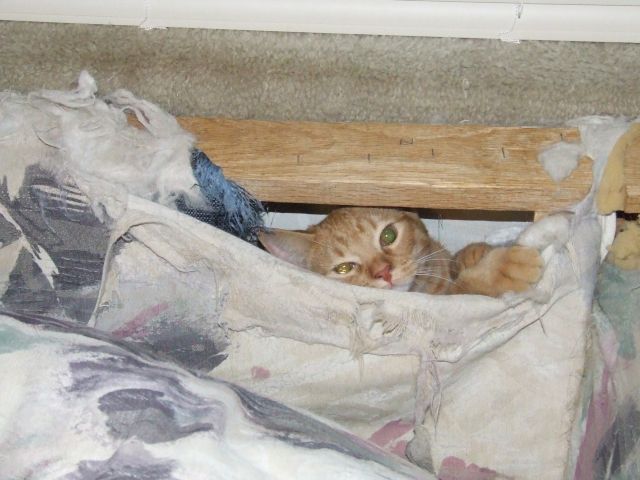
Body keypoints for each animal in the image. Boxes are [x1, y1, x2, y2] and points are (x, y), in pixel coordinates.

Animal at [258, 207, 542, 297]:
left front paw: (473, 254)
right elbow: (467, 287)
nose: (384, 272)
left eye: (388, 236)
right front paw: (503, 269)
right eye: (344, 268)